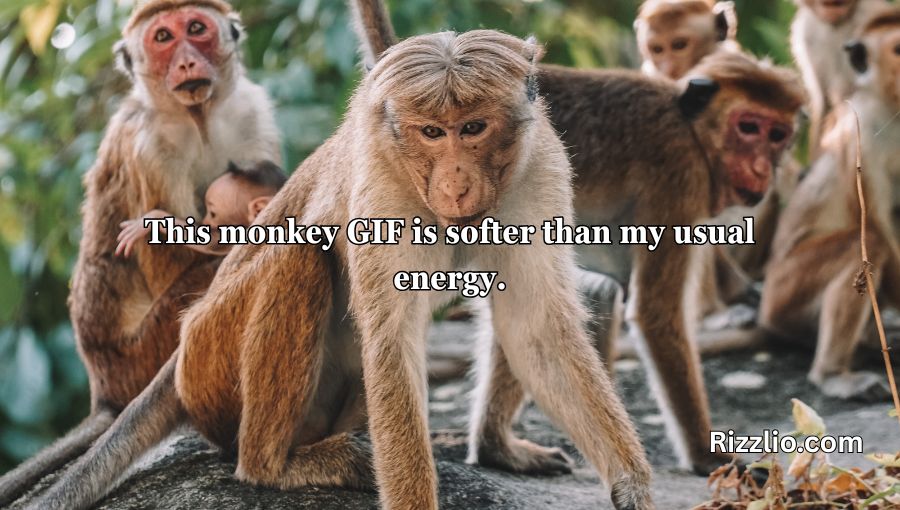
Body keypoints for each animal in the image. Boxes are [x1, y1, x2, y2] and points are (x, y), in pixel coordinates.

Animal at [0, 1, 280, 506]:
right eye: (163, 38)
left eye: (196, 29)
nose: (186, 62)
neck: (198, 120)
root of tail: (105, 390)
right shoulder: (151, 146)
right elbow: (174, 260)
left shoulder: (253, 113)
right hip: (142, 351)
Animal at [23, 28, 654, 510]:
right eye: (433, 132)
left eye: (473, 128)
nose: (455, 182)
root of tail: (179, 357)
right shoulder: (382, 185)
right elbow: (391, 344)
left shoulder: (538, 167)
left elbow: (535, 327)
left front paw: (631, 487)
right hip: (208, 366)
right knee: (301, 256)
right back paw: (271, 466)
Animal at [352, 0, 805, 477]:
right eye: (748, 128)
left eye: (777, 134)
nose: (761, 169)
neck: (692, 130)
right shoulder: (680, 173)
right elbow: (656, 313)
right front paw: (707, 455)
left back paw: (496, 447)